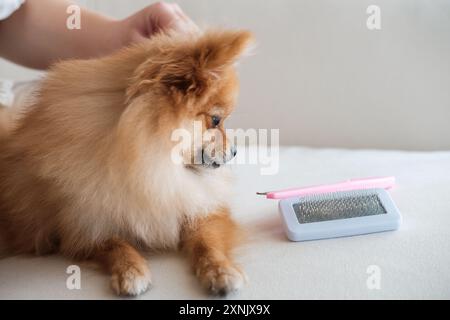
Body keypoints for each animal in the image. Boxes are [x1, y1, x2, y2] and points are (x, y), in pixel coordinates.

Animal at [0, 28, 253, 296]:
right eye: (216, 120)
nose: (235, 151)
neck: (151, 168)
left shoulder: (201, 209)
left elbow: (207, 243)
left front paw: (220, 271)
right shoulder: (82, 227)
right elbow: (114, 245)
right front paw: (130, 271)